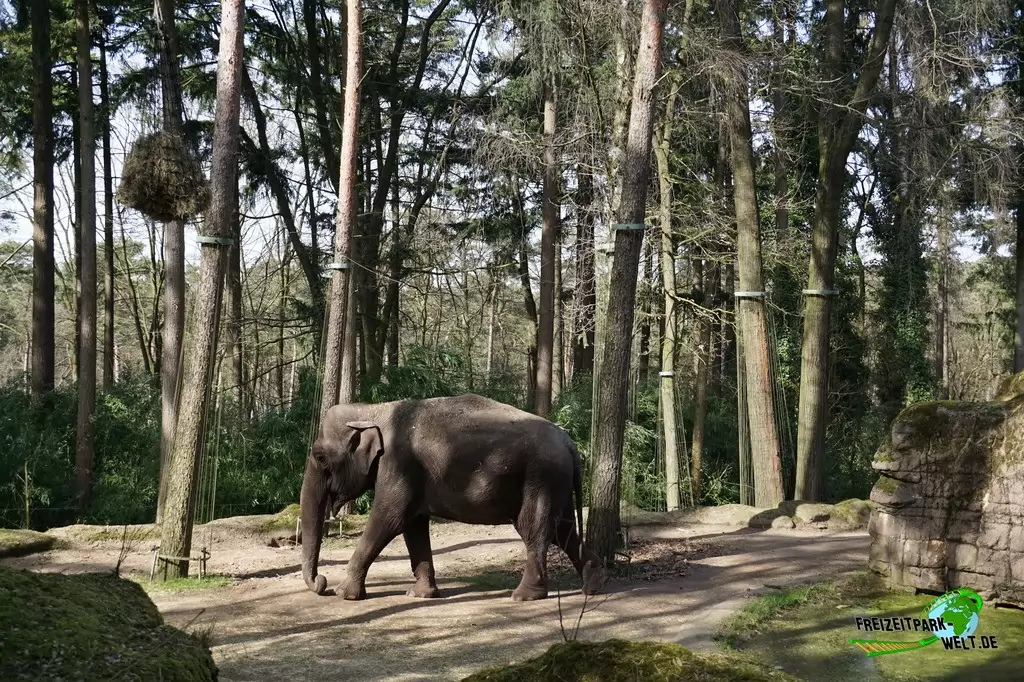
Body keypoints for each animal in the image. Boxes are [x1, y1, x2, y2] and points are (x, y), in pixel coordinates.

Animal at [299, 393, 608, 602]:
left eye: (320, 457)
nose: (321, 583)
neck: (374, 409)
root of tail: (569, 443)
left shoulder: (399, 466)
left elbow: (389, 519)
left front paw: (344, 593)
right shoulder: (413, 477)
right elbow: (413, 526)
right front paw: (420, 595)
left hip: (541, 478)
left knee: (535, 529)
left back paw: (523, 596)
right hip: (555, 482)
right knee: (562, 530)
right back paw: (594, 584)